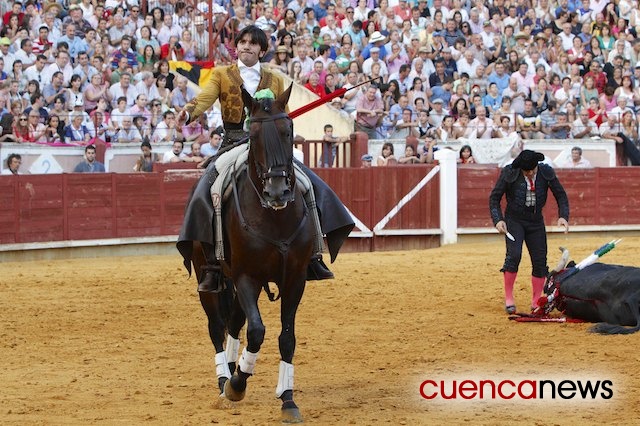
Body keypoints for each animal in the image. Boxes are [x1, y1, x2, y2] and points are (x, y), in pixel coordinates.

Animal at [191, 84, 314, 422]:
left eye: (288, 130)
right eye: (255, 135)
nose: (277, 192)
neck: (274, 217)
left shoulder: (295, 278)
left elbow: (287, 337)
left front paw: (287, 399)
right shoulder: (246, 276)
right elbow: (257, 331)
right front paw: (236, 387)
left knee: (234, 321)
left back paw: (234, 368)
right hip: (209, 277)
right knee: (217, 327)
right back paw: (224, 378)